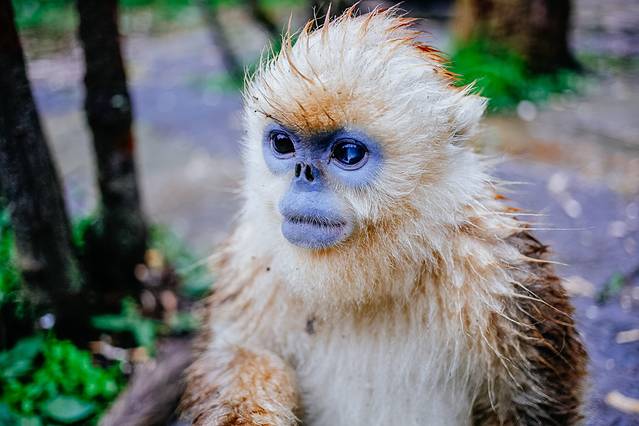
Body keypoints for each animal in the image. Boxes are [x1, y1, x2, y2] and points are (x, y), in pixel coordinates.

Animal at [181, 7, 587, 426]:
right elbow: (240, 352)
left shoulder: (503, 275)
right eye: (282, 144)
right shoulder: (251, 259)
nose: (303, 174)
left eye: (347, 154)